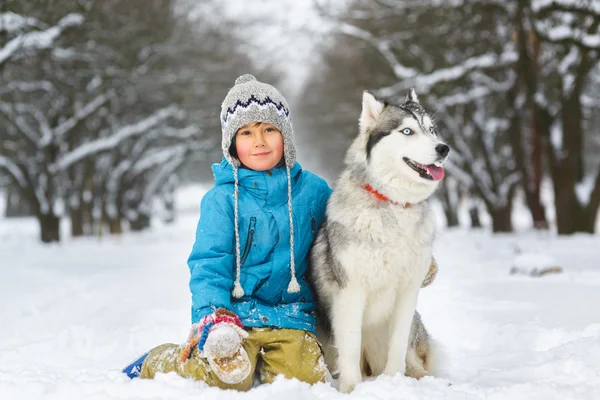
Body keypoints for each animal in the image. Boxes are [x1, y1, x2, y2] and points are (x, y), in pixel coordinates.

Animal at [312, 89, 448, 392]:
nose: (444, 149)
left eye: (432, 129)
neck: (394, 205)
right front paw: (351, 389)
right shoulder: (351, 293)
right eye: (407, 131)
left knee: (412, 356)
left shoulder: (408, 291)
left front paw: (394, 380)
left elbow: (398, 345)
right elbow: (350, 347)